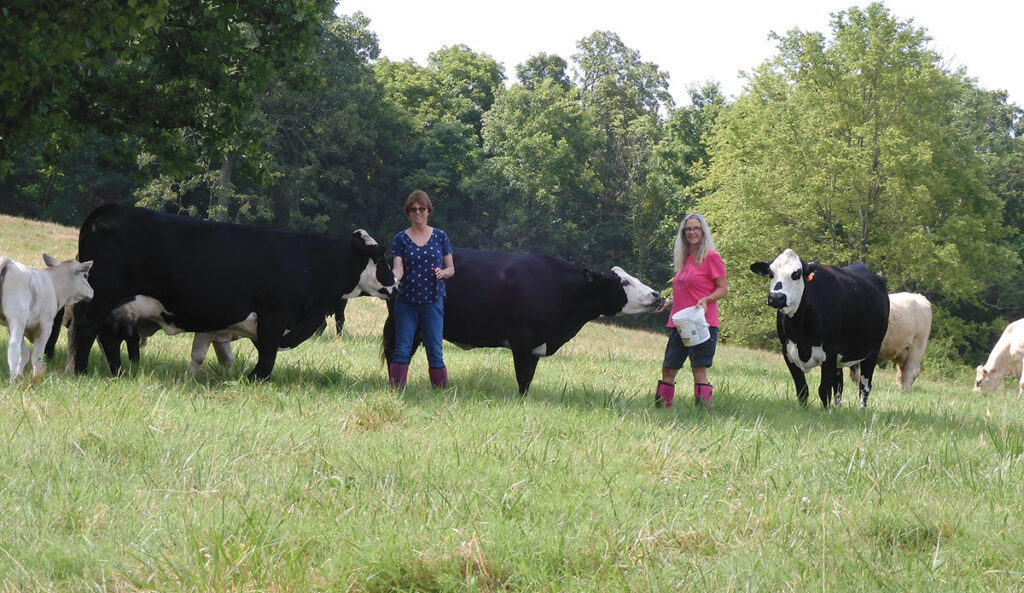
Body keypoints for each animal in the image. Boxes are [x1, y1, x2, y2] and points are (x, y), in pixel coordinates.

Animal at [69, 203, 395, 380]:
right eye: (381, 258)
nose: (395, 283)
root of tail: (111, 208)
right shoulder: (274, 317)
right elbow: (266, 359)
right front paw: (252, 380)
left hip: (114, 306)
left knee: (107, 336)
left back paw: (117, 372)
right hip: (101, 296)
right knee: (85, 330)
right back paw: (81, 372)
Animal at [385, 245, 663, 395]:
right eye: (624, 282)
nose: (657, 295)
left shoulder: (535, 347)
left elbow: (529, 379)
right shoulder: (521, 341)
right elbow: (522, 378)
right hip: (404, 322)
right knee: (395, 353)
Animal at [749, 247, 892, 411]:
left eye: (796, 273)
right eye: (771, 273)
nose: (776, 297)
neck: (800, 329)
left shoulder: (830, 352)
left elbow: (824, 390)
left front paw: (825, 412)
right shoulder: (788, 352)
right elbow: (802, 389)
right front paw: (804, 411)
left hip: (873, 351)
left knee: (865, 386)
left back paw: (862, 411)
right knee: (839, 385)